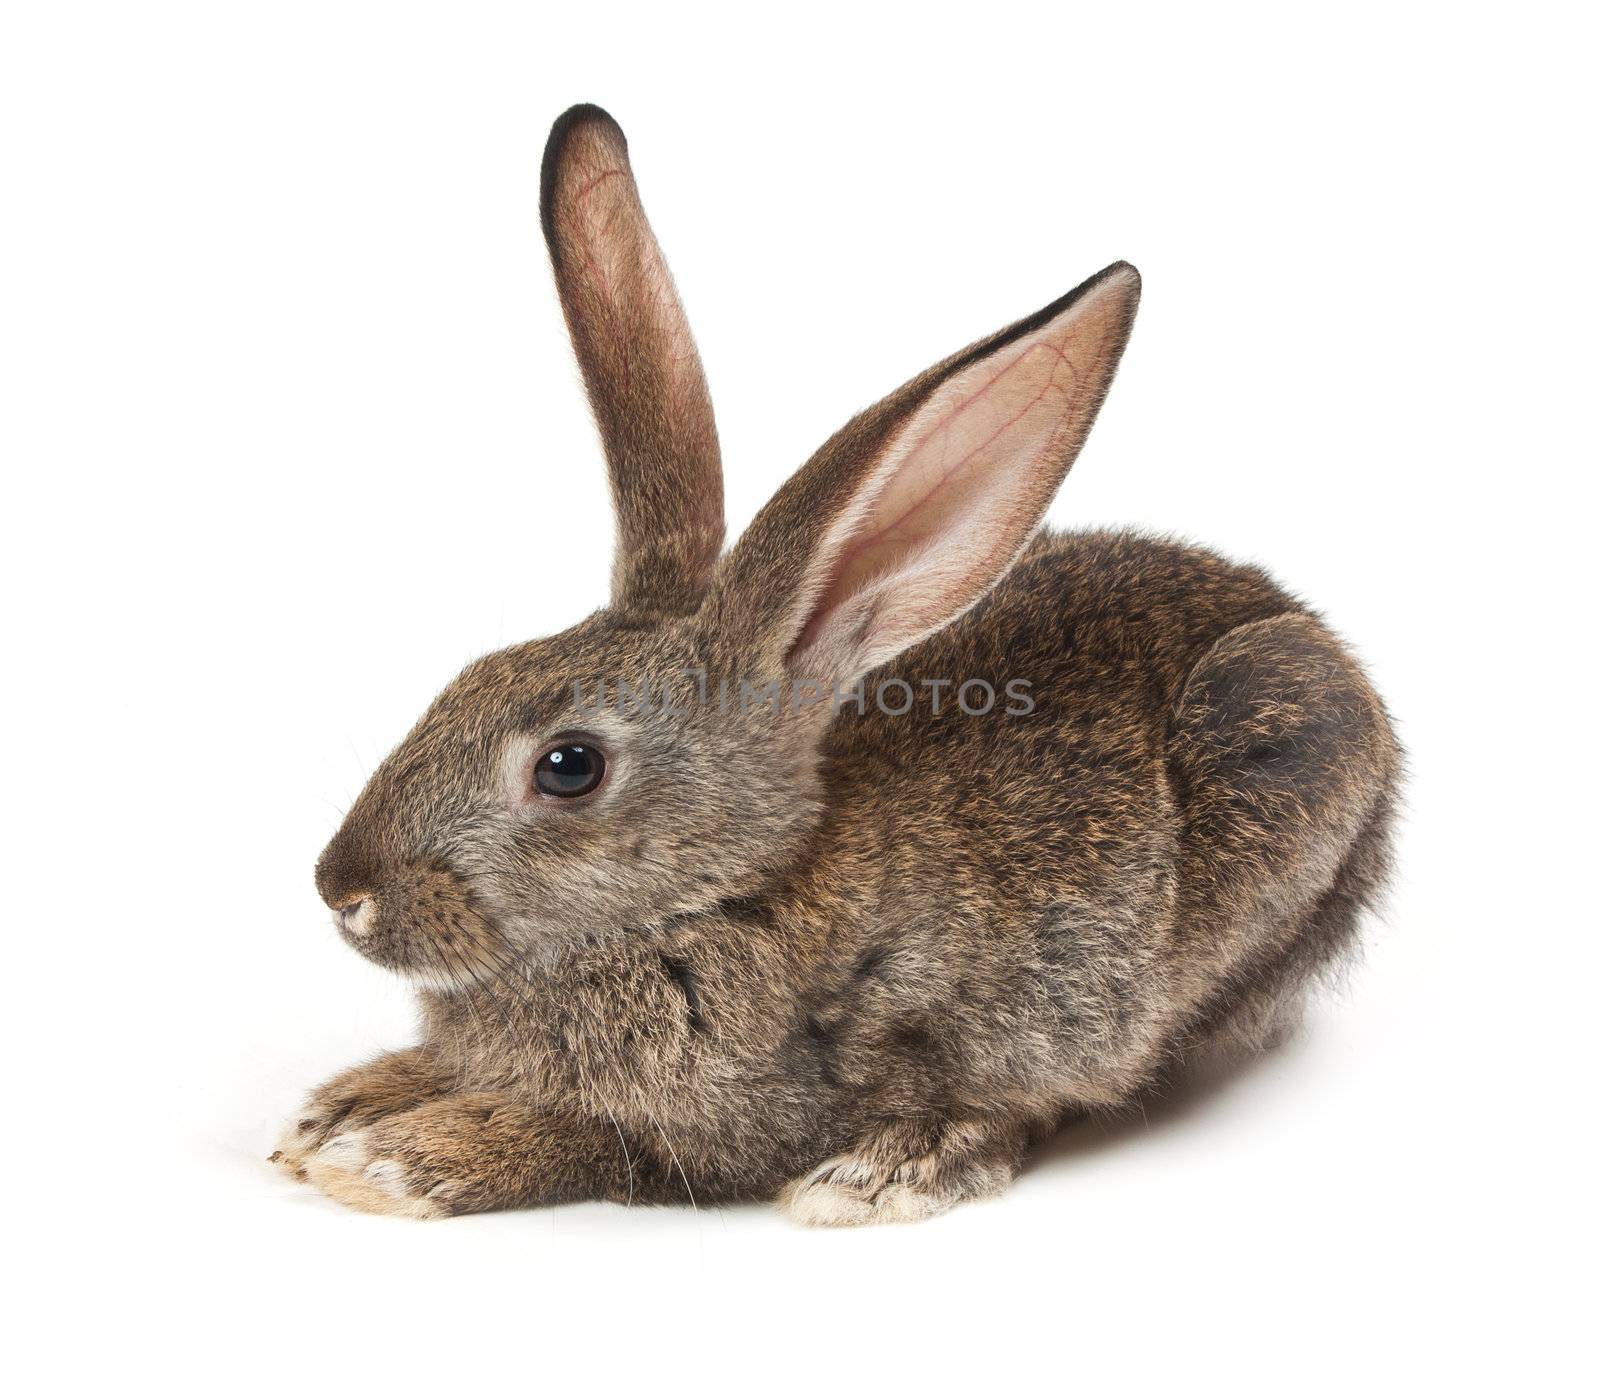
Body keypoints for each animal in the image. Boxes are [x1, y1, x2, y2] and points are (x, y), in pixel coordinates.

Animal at [275, 110, 1401, 1228]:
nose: (341, 890)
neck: (721, 895)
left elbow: (587, 1138)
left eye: (568, 765)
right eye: (463, 677)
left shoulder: (735, 1120)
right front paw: (347, 1108)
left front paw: (396, 1157)